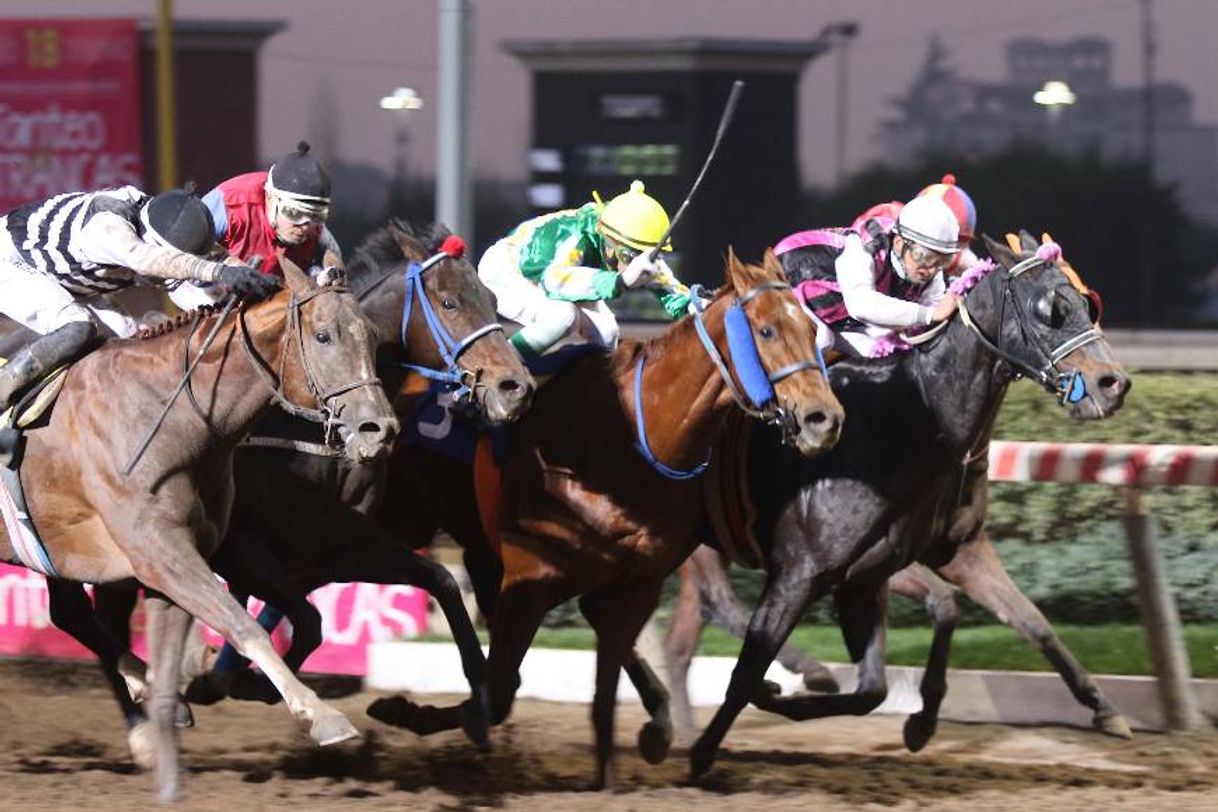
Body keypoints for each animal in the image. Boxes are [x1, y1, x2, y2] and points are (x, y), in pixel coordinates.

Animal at [0, 260, 399, 798]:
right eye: (323, 335)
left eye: (373, 337)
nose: (380, 430)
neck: (178, 416)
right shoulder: (160, 553)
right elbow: (243, 624)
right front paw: (321, 715)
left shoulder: (188, 555)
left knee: (71, 616)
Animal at [367, 248, 847, 788]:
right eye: (765, 330)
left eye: (809, 327)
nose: (824, 418)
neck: (631, 437)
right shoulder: (530, 580)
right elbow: (501, 690)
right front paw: (404, 711)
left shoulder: (635, 586)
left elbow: (599, 702)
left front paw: (622, 768)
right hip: (407, 518)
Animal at [667, 231, 1130, 779]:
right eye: (1051, 309)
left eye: (1087, 303)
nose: (1112, 383)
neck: (910, 418)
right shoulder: (805, 570)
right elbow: (755, 667)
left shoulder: (932, 556)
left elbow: (1025, 621)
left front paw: (1103, 709)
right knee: (715, 605)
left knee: (683, 634)